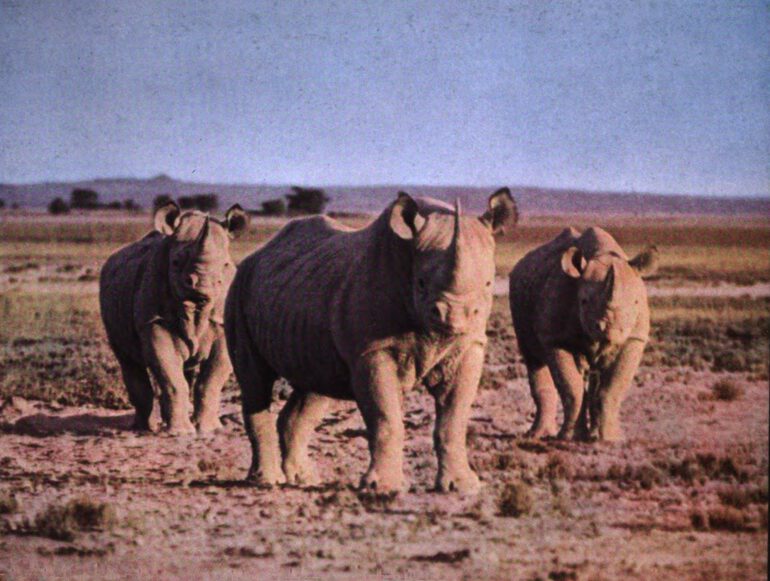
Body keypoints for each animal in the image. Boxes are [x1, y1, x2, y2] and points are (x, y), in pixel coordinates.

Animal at [100, 202, 249, 435]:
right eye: (176, 262)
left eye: (225, 265)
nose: (202, 286)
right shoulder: (154, 321)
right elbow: (171, 375)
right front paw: (180, 432)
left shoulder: (222, 324)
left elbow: (212, 380)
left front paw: (209, 429)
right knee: (129, 360)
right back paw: (145, 428)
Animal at [225, 189, 518, 493]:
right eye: (421, 283)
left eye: (488, 284)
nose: (454, 317)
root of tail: (258, 254)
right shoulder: (372, 351)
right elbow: (385, 415)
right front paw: (382, 487)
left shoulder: (468, 346)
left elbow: (454, 416)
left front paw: (462, 486)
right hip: (239, 287)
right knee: (255, 381)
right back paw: (266, 481)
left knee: (315, 384)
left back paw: (304, 479)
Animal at [508, 227, 658, 441]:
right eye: (584, 302)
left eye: (636, 302)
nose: (608, 330)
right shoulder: (555, 338)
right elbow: (571, 385)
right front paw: (569, 438)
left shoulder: (633, 338)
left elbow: (613, 387)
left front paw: (611, 438)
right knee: (533, 358)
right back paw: (537, 435)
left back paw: (593, 434)